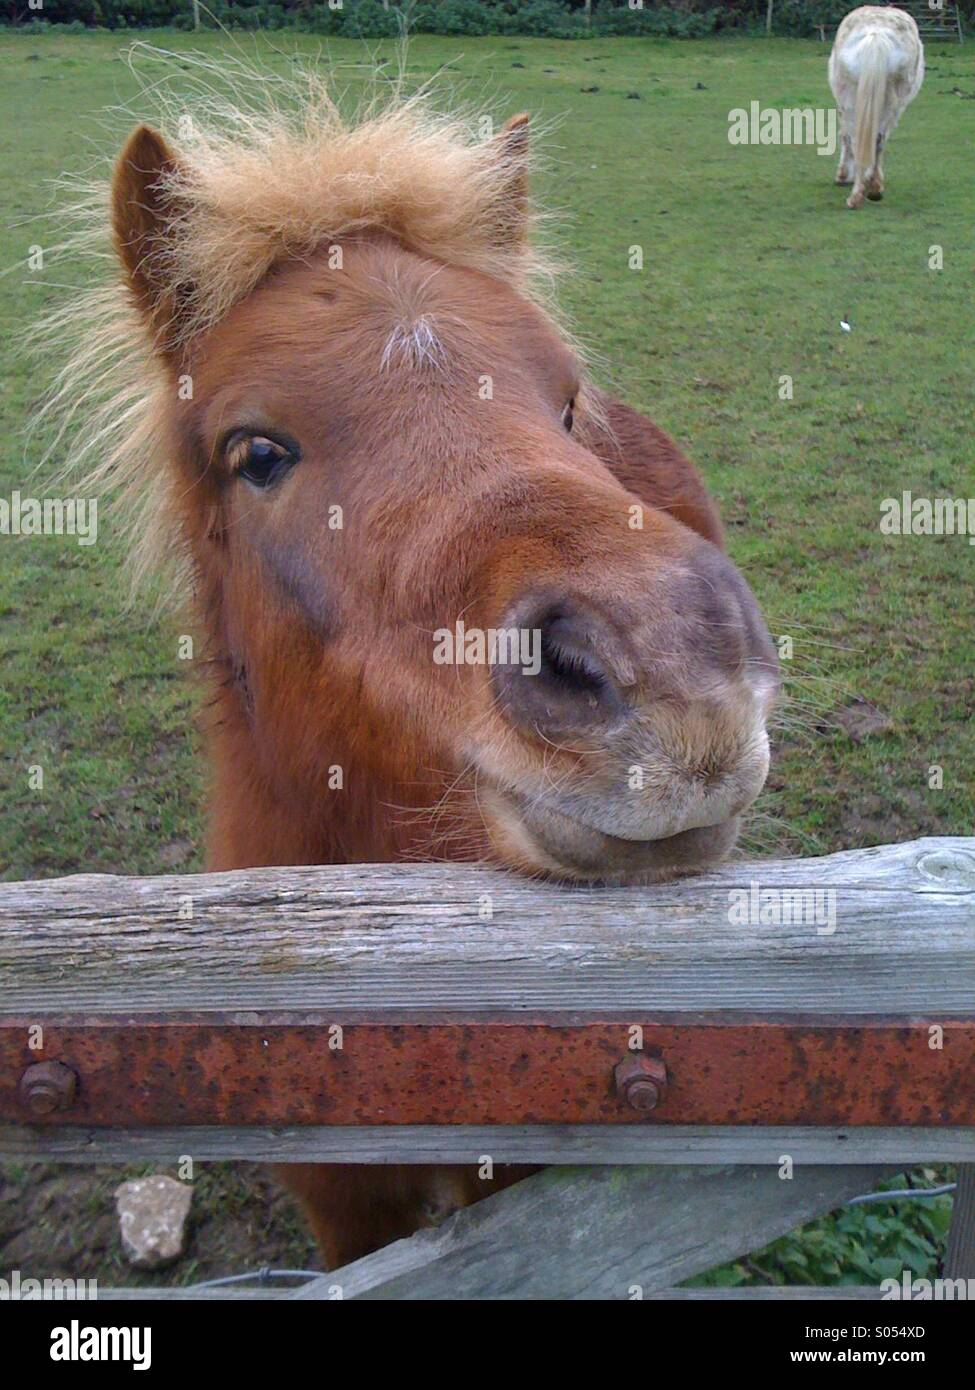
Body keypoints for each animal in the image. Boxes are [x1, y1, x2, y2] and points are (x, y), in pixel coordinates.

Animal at [828, 5, 924, 209]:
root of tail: (877, 33)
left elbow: (844, 136)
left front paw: (842, 176)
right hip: (892, 102)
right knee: (878, 139)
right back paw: (873, 190)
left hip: (850, 98)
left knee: (857, 138)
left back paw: (857, 195)